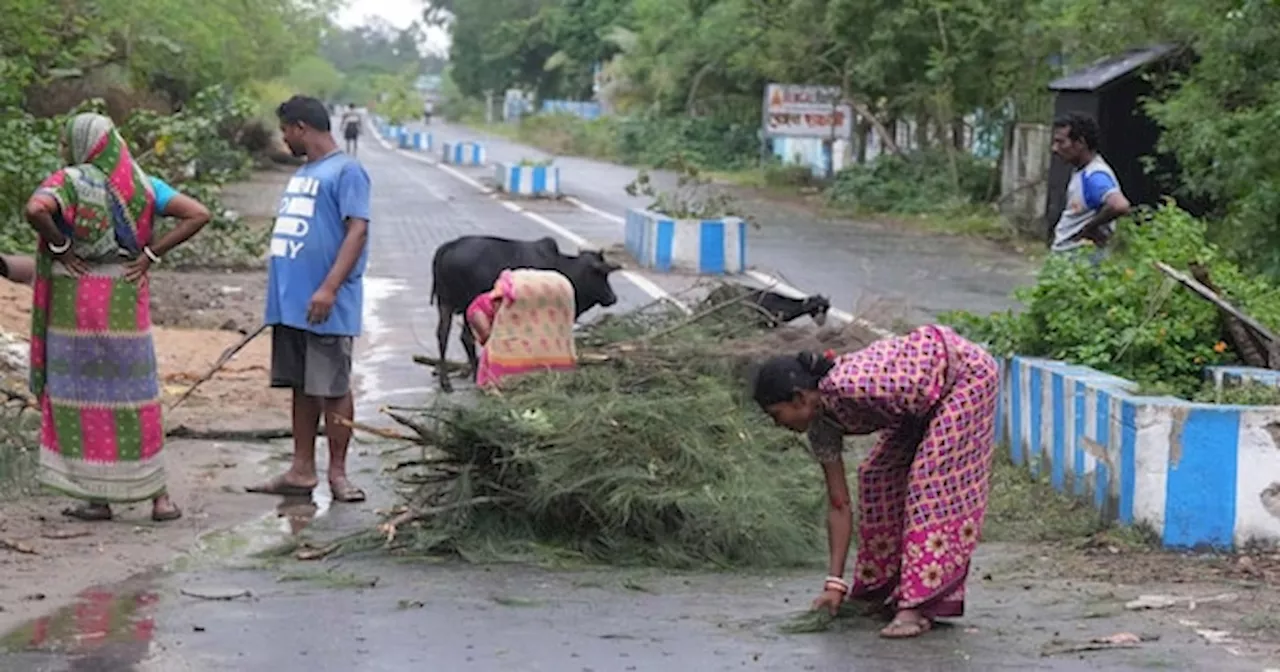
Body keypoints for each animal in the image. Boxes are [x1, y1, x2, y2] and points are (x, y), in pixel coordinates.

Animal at [427, 235, 622, 394]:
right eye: (601, 274)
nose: (612, 297)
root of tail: (448, 247)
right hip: (468, 304)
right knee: (465, 337)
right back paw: (475, 378)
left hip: (445, 302)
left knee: (442, 335)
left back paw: (446, 382)